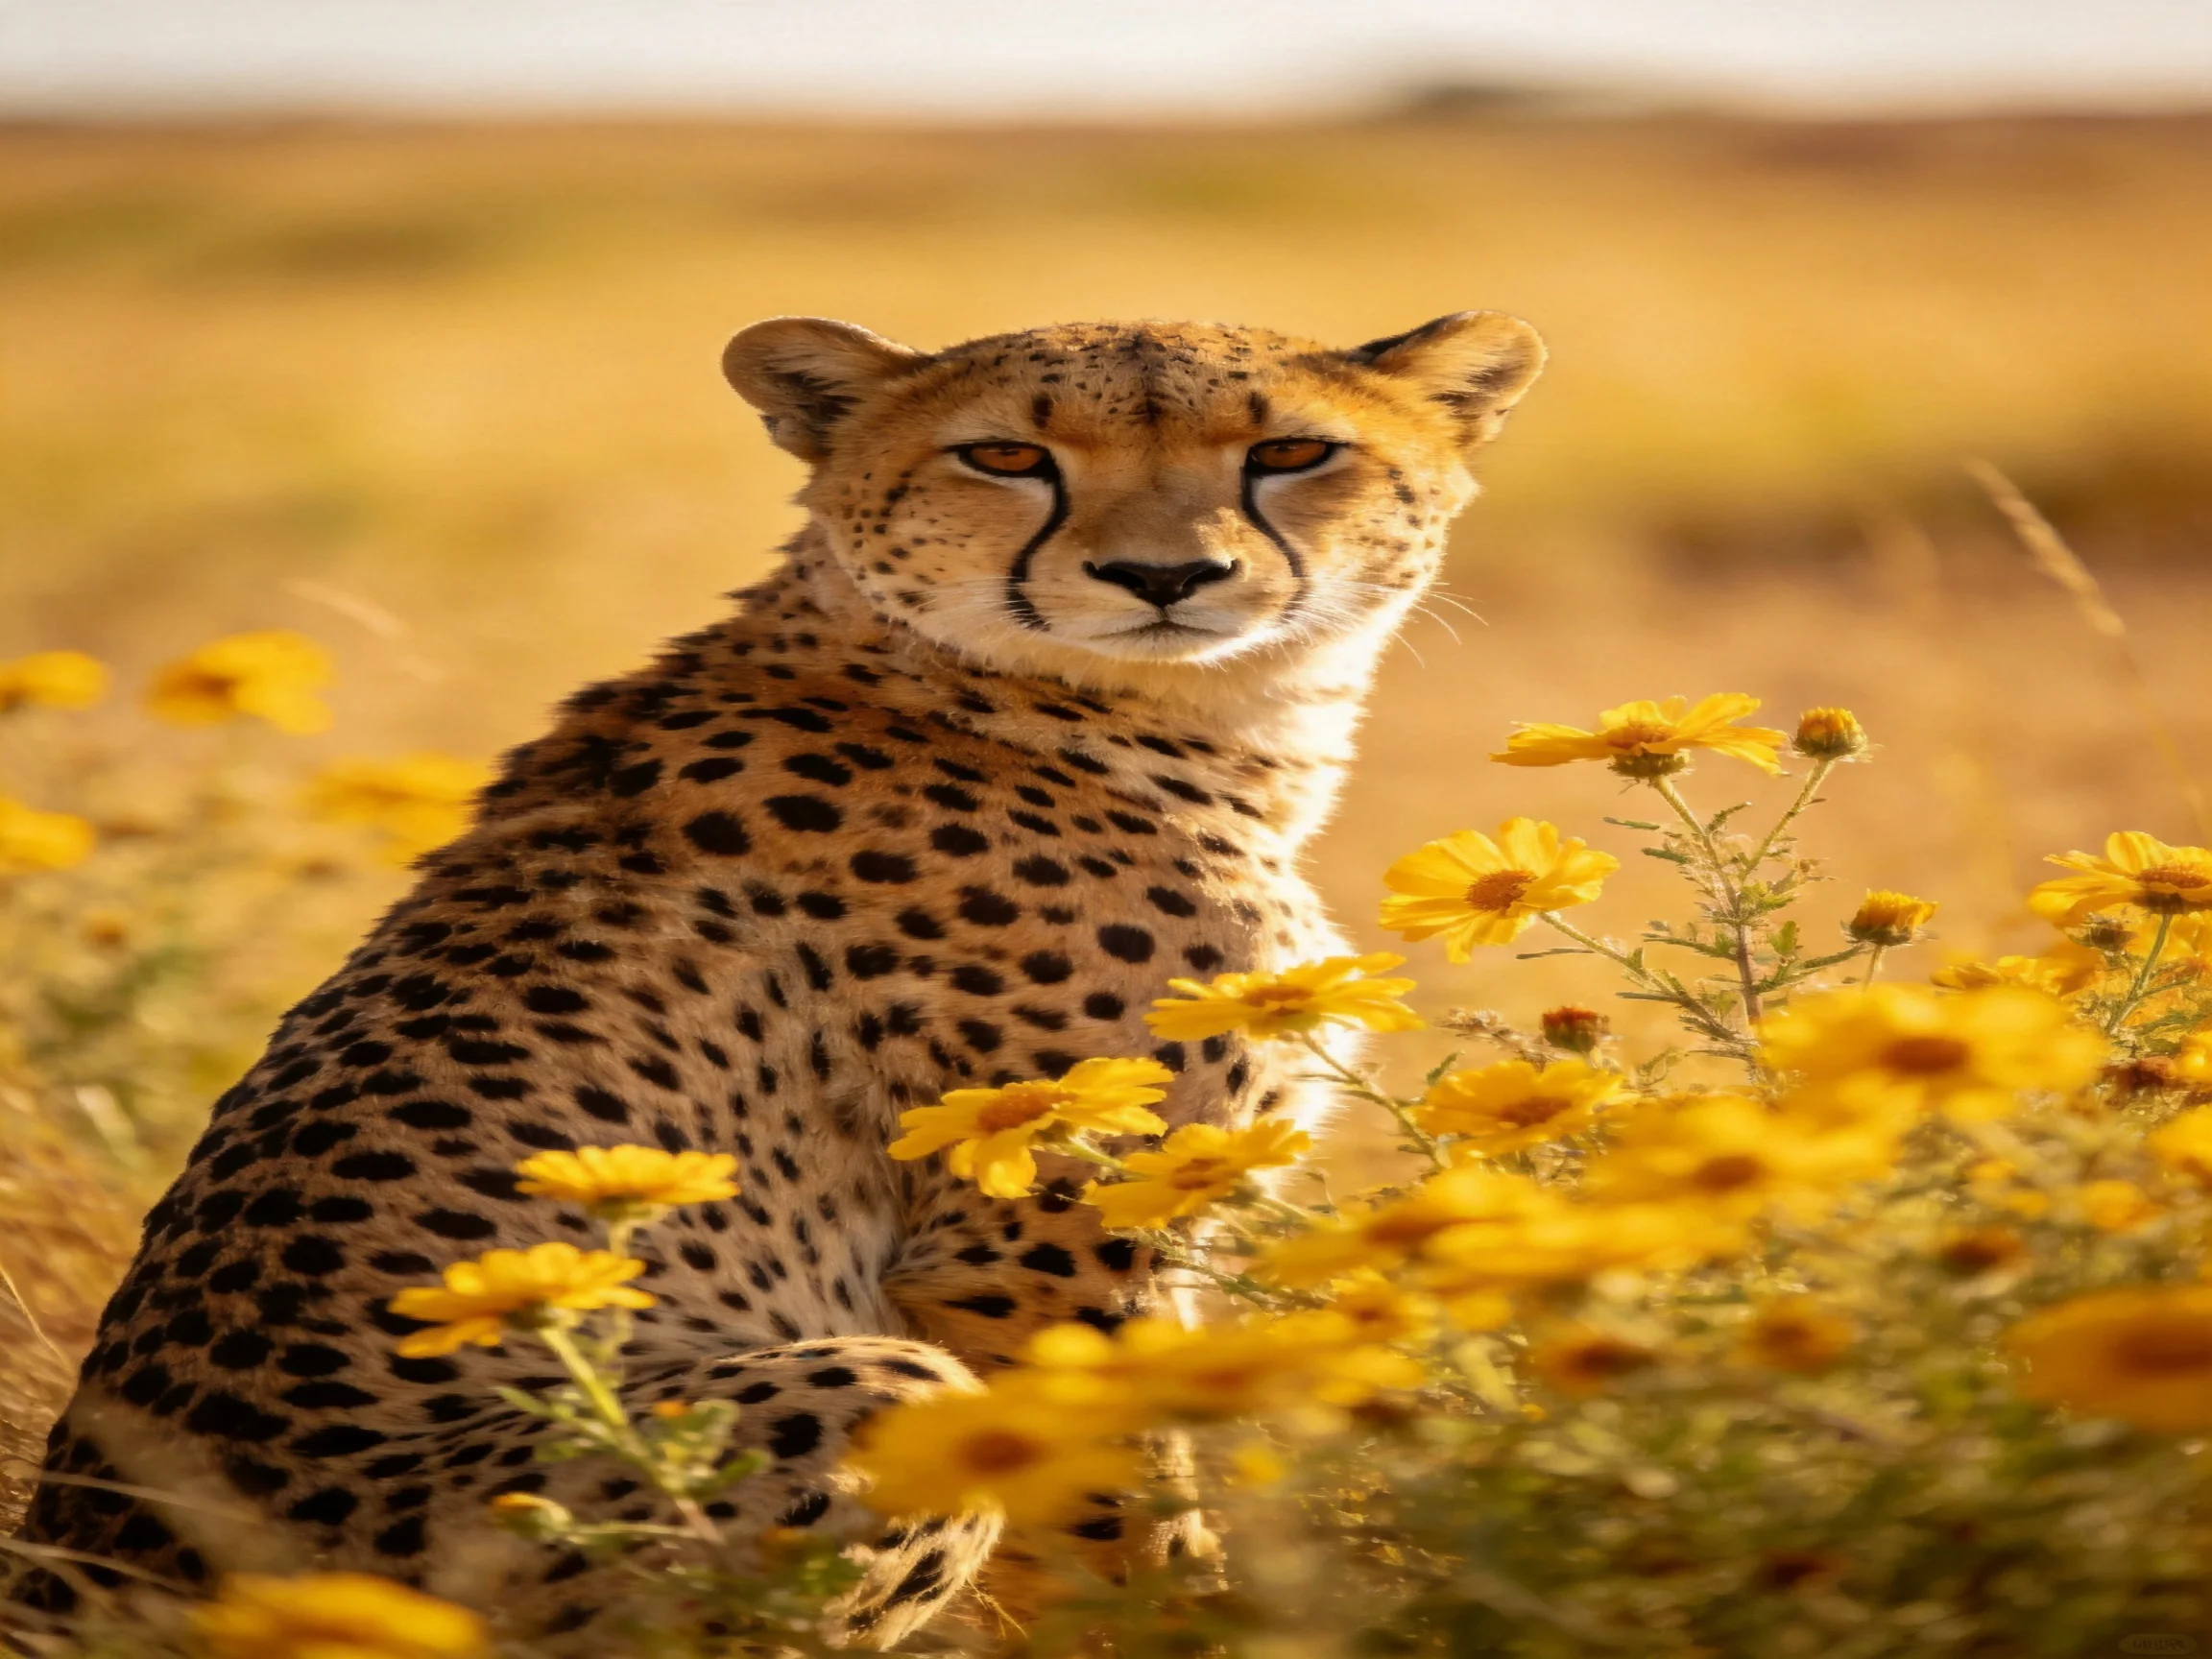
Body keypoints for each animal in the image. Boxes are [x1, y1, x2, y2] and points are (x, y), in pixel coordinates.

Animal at [10, 309, 1544, 1648]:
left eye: (1290, 450)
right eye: (1006, 456)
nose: (1163, 579)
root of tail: (67, 1569)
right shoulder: (1033, 1250)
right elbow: (1126, 1520)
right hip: (861, 1383)